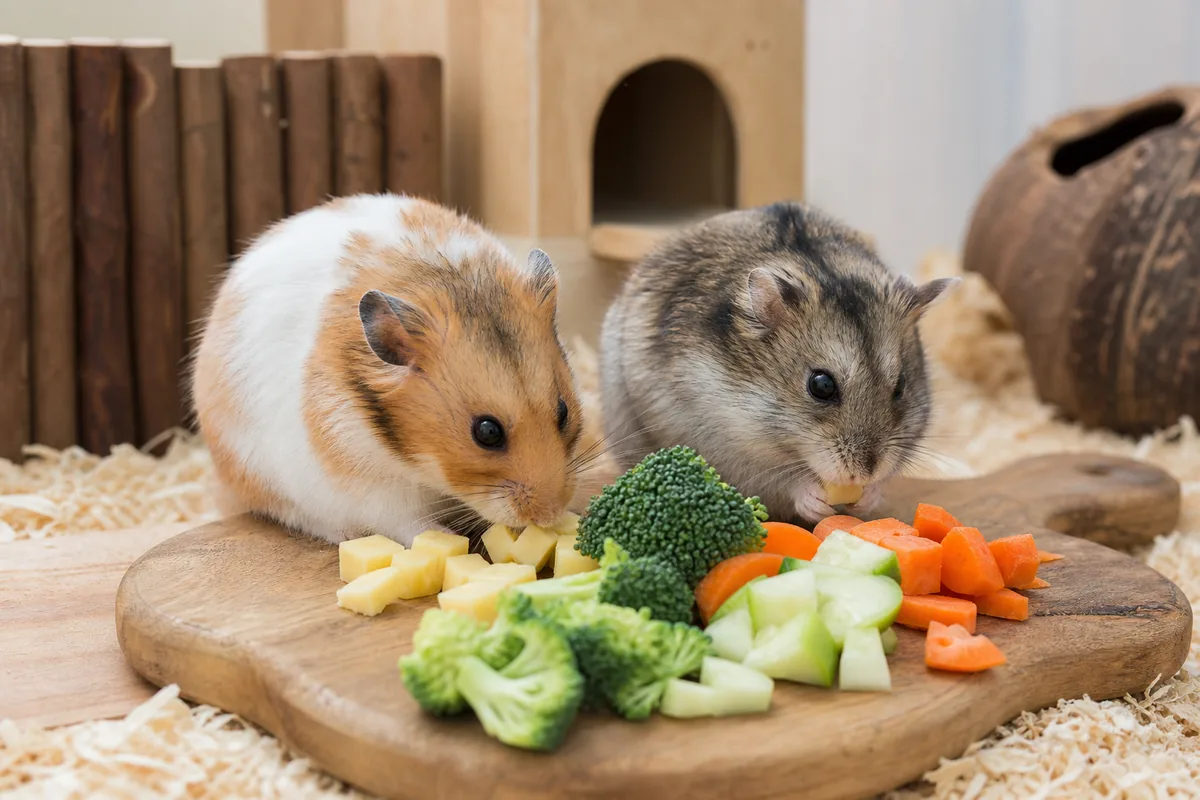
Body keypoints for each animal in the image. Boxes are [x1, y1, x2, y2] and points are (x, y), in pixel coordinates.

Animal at [191, 193, 592, 545]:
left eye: (563, 412)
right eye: (487, 432)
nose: (548, 514)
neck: (418, 462)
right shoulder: (372, 490)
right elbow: (410, 525)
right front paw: (449, 543)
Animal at [599, 201, 958, 526]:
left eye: (900, 387)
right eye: (821, 385)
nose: (863, 473)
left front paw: (869, 495)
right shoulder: (721, 448)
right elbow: (782, 482)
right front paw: (814, 498)